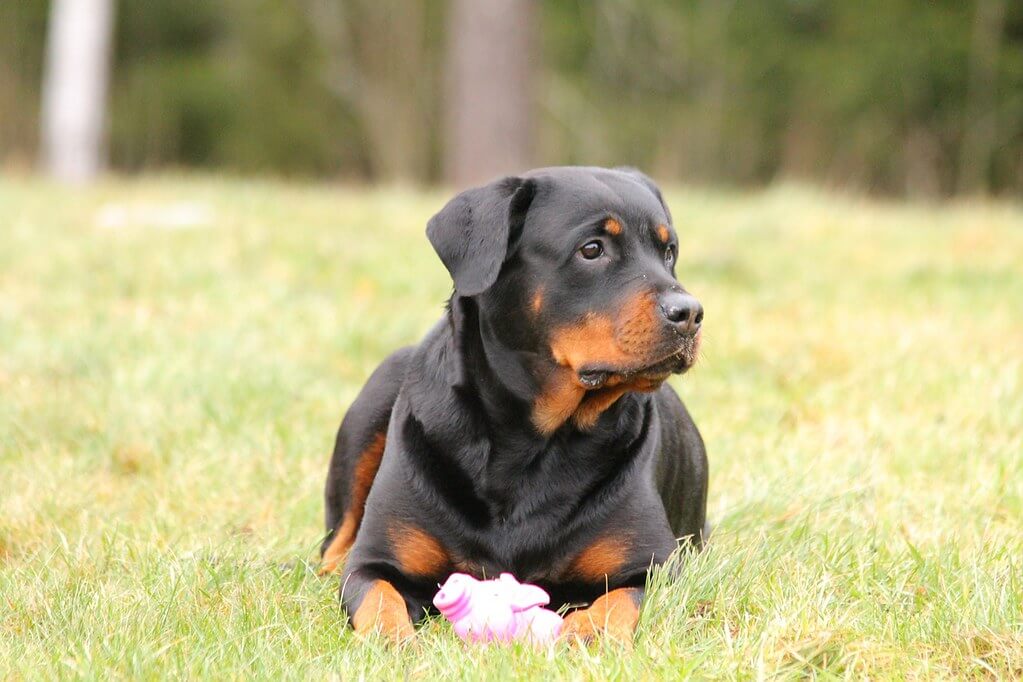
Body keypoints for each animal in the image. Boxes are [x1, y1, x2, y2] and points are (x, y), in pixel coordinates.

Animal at [323, 166, 707, 646]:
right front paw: (394, 641)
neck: (530, 439)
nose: (690, 313)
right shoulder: (375, 562)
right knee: (334, 543)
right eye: (592, 249)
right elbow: (378, 598)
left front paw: (586, 632)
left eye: (668, 252)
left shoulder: (653, 567)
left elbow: (618, 601)